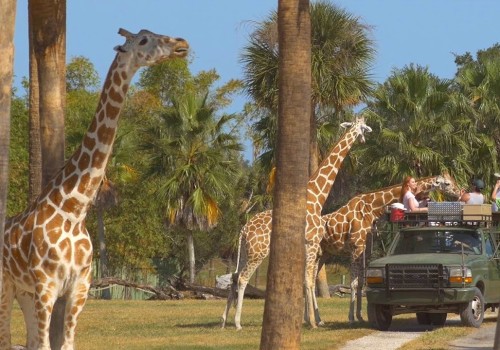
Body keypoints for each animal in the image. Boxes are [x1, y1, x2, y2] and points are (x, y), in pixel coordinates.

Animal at [0, 28, 188, 348]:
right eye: (143, 40)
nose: (181, 44)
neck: (73, 210)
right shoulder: (46, 287)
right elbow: (48, 344)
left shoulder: (79, 287)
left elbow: (64, 343)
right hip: (7, 286)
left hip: (23, 291)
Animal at [222, 116, 372, 330]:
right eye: (364, 128)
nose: (364, 140)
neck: (315, 197)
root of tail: (243, 230)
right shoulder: (311, 244)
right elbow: (308, 281)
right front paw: (312, 322)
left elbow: (303, 281)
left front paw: (306, 320)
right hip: (258, 252)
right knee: (242, 278)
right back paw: (237, 323)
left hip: (244, 251)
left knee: (234, 277)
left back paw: (223, 319)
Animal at [318, 172, 458, 322]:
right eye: (448, 183)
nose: (459, 192)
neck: (372, 209)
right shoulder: (356, 248)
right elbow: (354, 283)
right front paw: (351, 318)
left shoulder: (365, 250)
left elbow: (361, 283)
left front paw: (360, 316)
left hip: (324, 254)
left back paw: (317, 320)